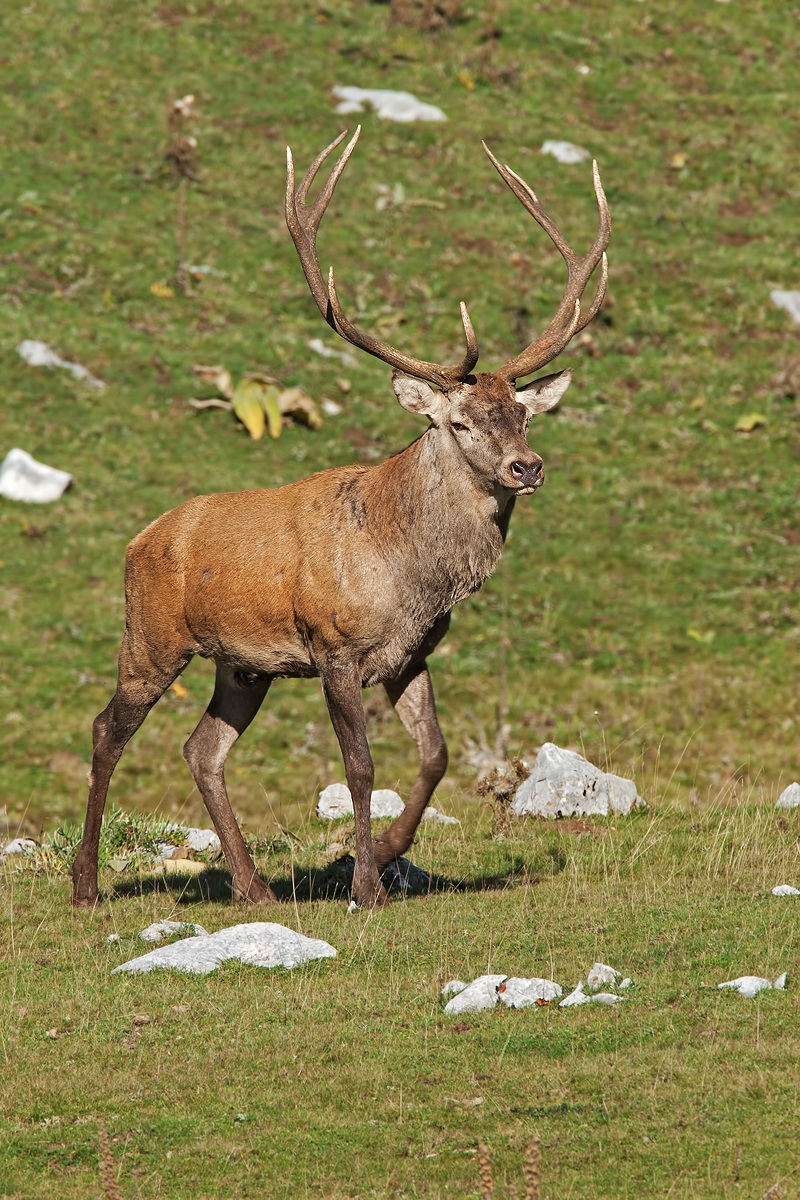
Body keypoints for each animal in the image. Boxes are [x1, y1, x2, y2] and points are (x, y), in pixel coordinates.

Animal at [71, 127, 610, 911]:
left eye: (523, 415)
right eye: (459, 422)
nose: (526, 467)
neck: (411, 574)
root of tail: (139, 540)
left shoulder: (413, 652)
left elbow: (436, 755)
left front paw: (383, 853)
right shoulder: (334, 646)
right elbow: (359, 765)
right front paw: (365, 884)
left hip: (243, 666)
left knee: (202, 748)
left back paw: (254, 889)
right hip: (150, 635)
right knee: (107, 728)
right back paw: (85, 883)